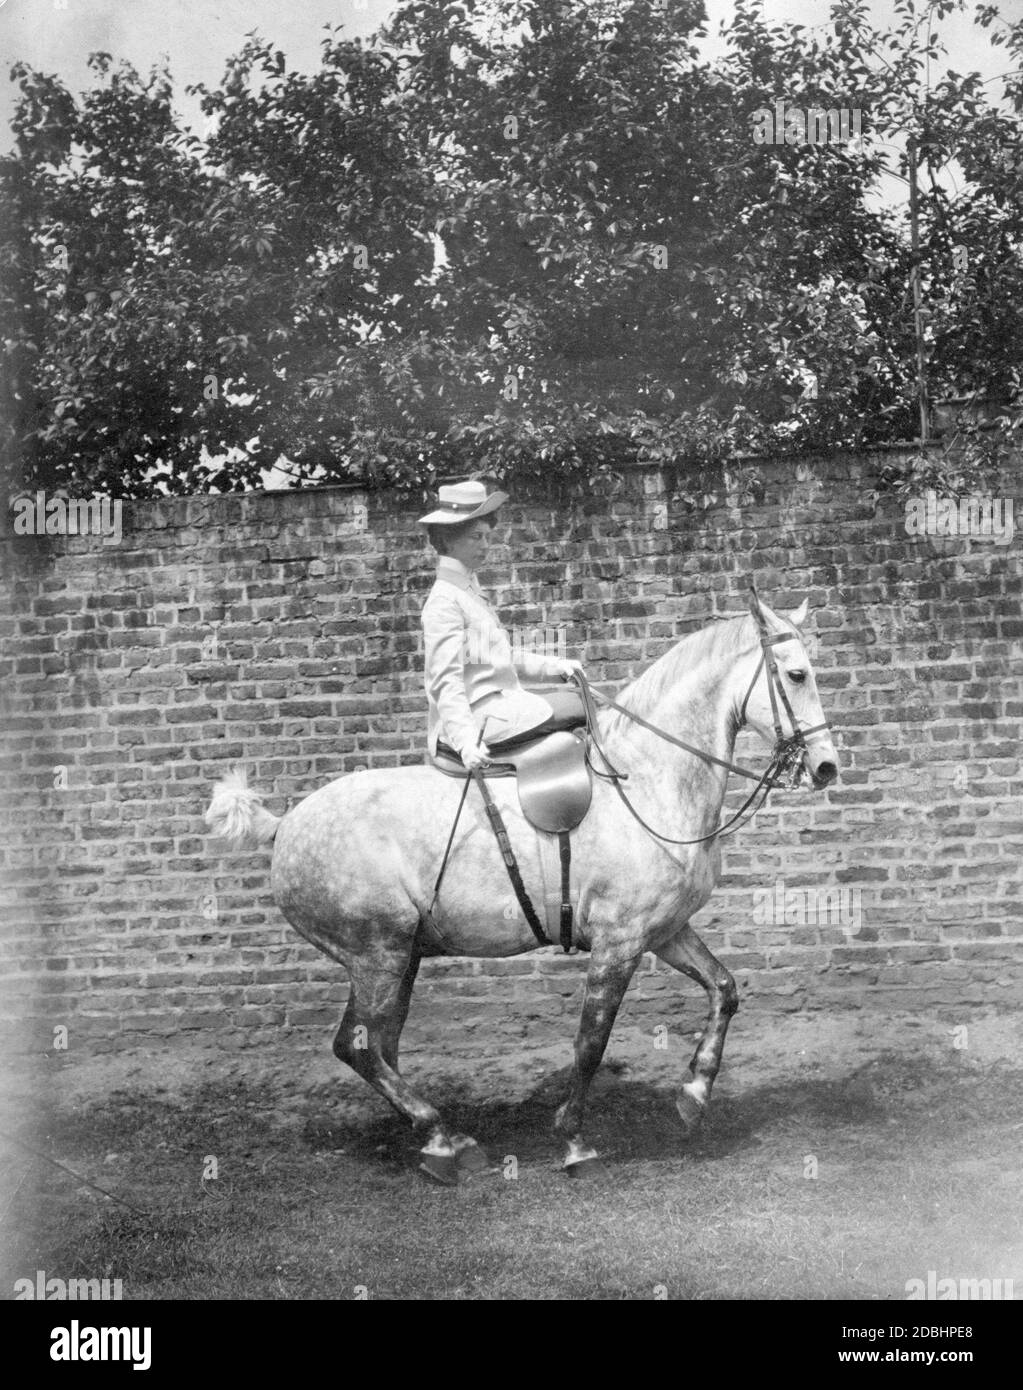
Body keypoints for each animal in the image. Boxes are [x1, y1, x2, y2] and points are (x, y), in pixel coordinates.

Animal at [204, 592, 833, 1178]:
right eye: (797, 674)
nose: (827, 768)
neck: (647, 782)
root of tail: (286, 826)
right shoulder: (619, 943)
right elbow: (591, 1042)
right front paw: (575, 1140)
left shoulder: (664, 931)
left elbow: (724, 990)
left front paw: (695, 1094)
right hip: (376, 955)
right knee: (359, 1048)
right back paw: (445, 1139)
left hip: (400, 959)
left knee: (380, 1048)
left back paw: (436, 1138)